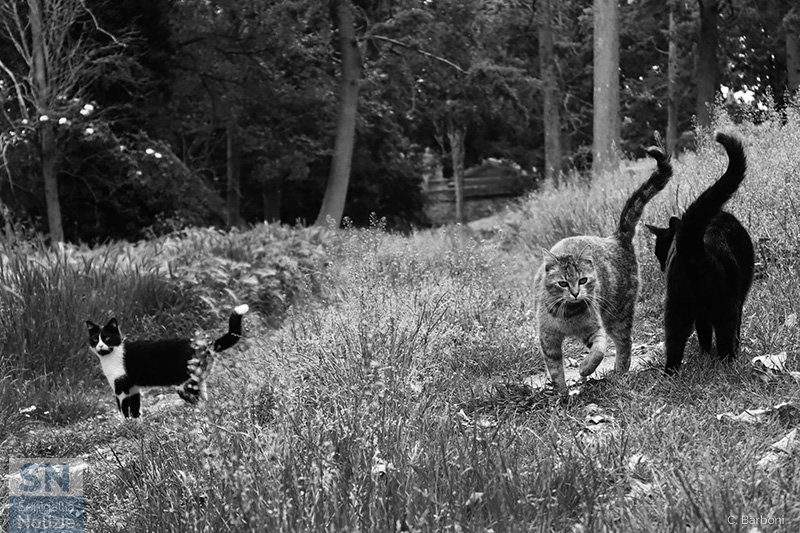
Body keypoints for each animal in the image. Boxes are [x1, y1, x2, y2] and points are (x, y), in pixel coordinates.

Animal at [85, 306, 248, 418]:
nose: (100, 346)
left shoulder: (121, 389)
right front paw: (137, 426)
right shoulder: (133, 389)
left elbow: (124, 411)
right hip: (199, 381)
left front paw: (126, 426)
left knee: (195, 398)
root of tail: (204, 346)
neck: (112, 356)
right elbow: (136, 410)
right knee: (205, 399)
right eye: (94, 339)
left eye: (107, 338)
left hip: (185, 384)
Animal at [536, 148, 672, 392]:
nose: (575, 293)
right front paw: (562, 394)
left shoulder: (595, 328)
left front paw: (585, 369)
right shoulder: (548, 339)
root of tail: (617, 237)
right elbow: (555, 370)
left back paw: (620, 373)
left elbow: (599, 351)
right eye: (563, 283)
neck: (569, 316)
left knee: (625, 342)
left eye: (582, 280)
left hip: (618, 313)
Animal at [648, 131, 752, 372]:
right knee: (726, 336)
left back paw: (671, 372)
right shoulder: (737, 301)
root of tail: (692, 244)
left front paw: (704, 354)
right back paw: (729, 364)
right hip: (726, 304)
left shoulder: (700, 314)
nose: (661, 267)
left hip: (676, 306)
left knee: (674, 341)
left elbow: (703, 333)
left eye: (660, 253)